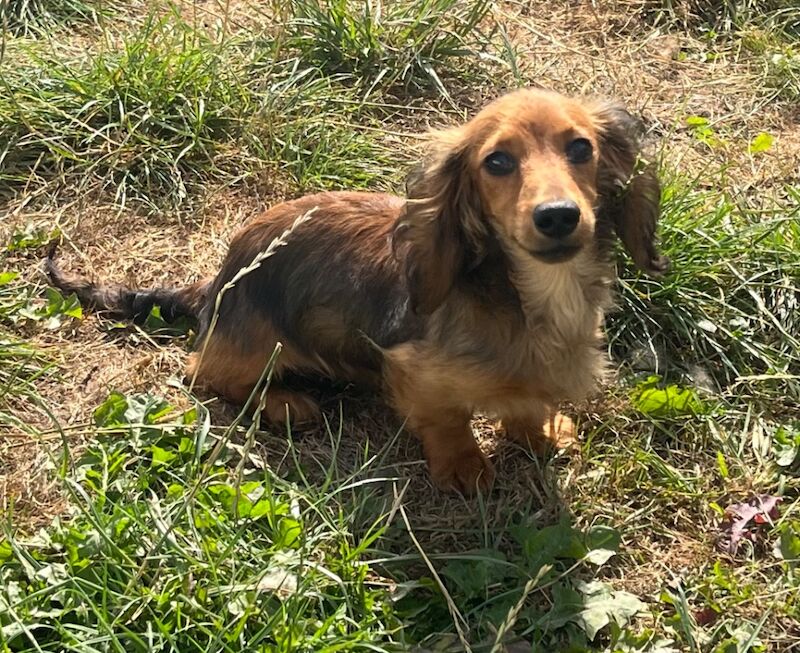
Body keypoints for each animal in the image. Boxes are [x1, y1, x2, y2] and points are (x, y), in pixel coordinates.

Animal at [45, 88, 668, 494]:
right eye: (497, 161)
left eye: (581, 148)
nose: (559, 216)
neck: (527, 294)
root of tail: (216, 282)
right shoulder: (412, 369)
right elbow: (447, 419)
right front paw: (463, 467)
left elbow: (529, 401)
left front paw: (538, 430)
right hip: (257, 347)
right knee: (205, 373)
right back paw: (284, 403)